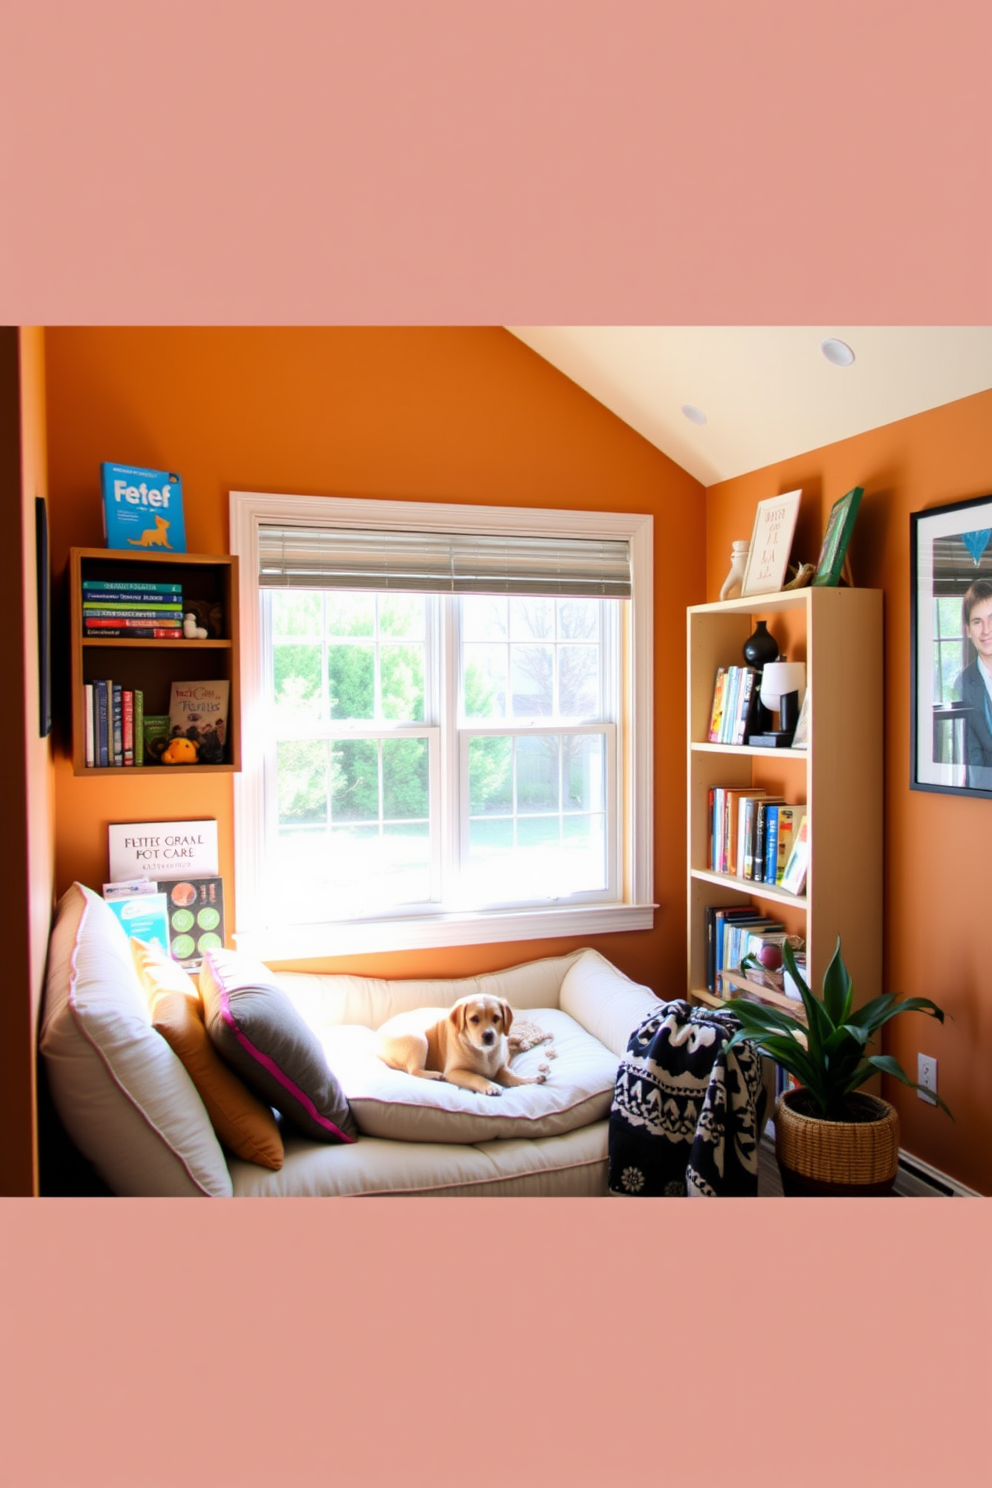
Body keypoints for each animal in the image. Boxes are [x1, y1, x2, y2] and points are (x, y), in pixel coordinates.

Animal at [376, 993, 556, 1101]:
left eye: (496, 1018)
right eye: (474, 1019)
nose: (488, 1035)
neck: (484, 1053)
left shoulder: (501, 1069)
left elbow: (513, 1077)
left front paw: (531, 1079)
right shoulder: (454, 1072)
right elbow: (475, 1077)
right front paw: (490, 1086)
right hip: (418, 1038)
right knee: (414, 1070)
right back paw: (434, 1075)